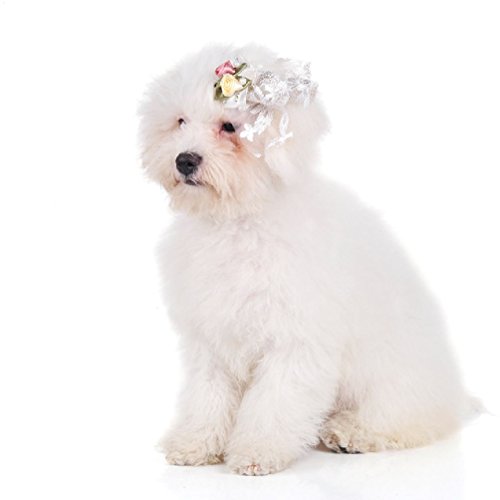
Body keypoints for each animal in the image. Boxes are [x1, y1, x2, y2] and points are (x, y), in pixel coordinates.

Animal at [138, 44, 467, 475]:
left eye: (229, 127)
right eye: (179, 121)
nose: (184, 160)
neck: (238, 222)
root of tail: (455, 394)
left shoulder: (294, 341)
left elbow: (273, 402)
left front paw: (256, 451)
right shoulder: (211, 340)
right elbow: (206, 397)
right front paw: (194, 444)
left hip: (394, 378)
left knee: (407, 421)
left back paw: (349, 433)